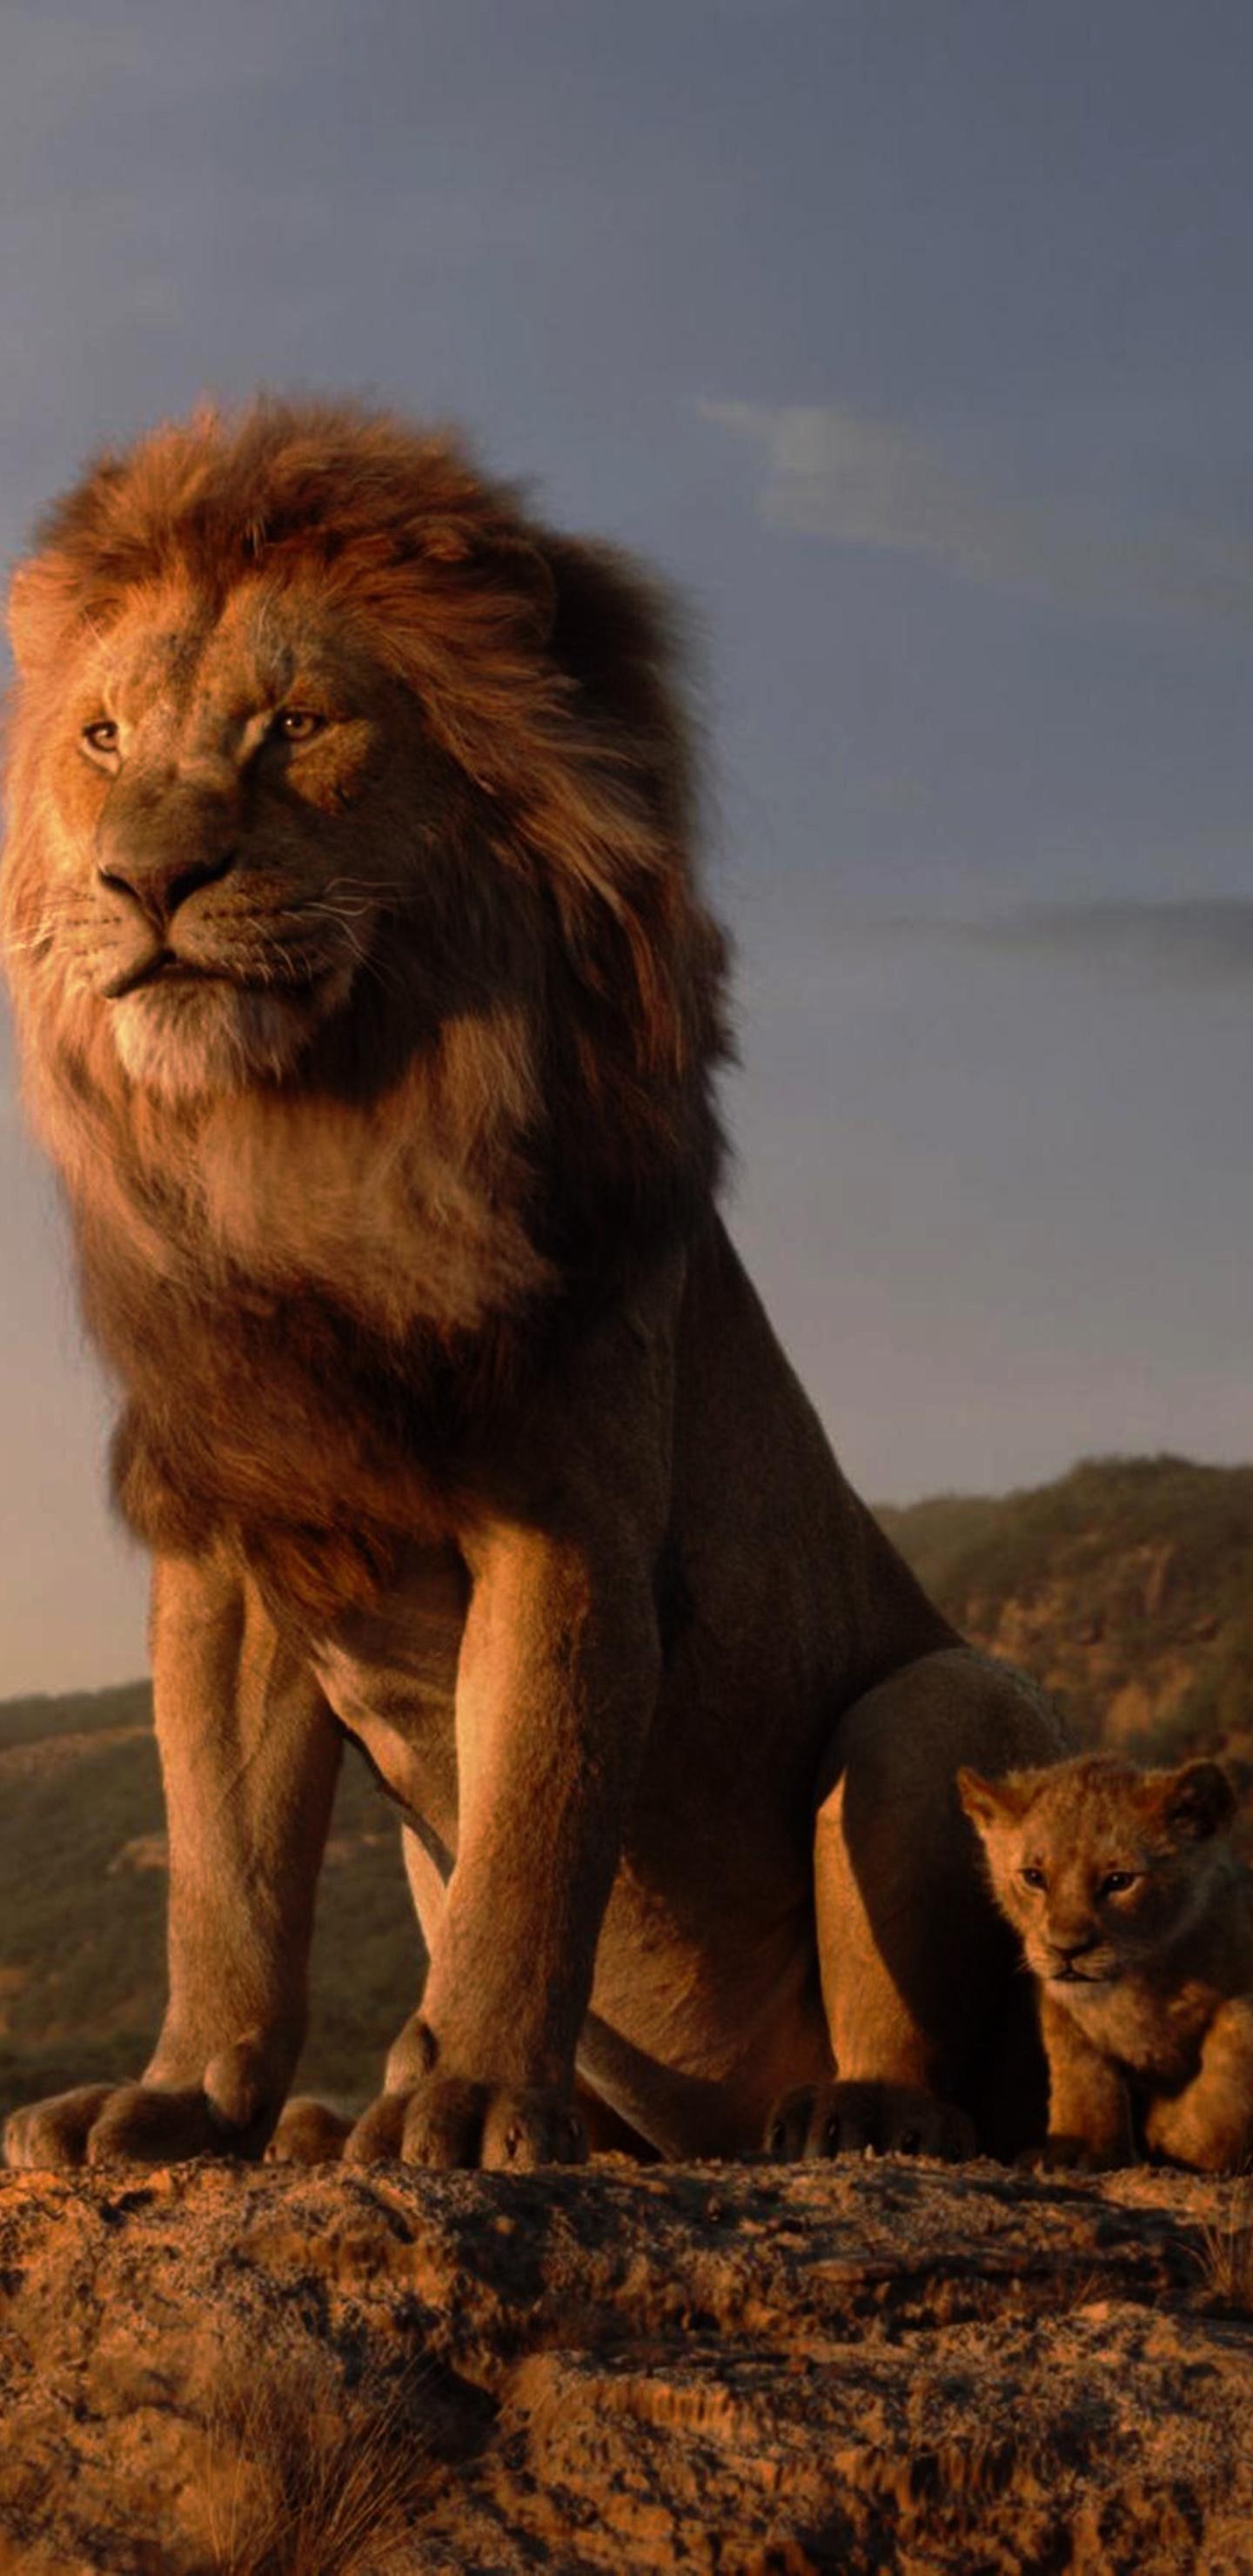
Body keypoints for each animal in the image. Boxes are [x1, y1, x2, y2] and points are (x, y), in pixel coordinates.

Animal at [1, 397, 1067, 2175]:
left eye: (296, 726)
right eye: (100, 740)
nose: (144, 881)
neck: (304, 1144)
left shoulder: (566, 1524)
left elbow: (532, 1841)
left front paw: (477, 2100)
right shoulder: (232, 1548)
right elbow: (224, 1879)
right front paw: (186, 2100)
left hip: (940, 1704)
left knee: (946, 2060)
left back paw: (848, 2115)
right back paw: (334, 2123)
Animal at [959, 1753, 1253, 2172]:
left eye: (1119, 1881)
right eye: (1034, 1877)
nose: (1067, 1950)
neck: (1140, 1983)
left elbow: (1233, 2046)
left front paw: (1176, 2136)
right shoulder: (1060, 2008)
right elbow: (1082, 2073)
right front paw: (1081, 2149)